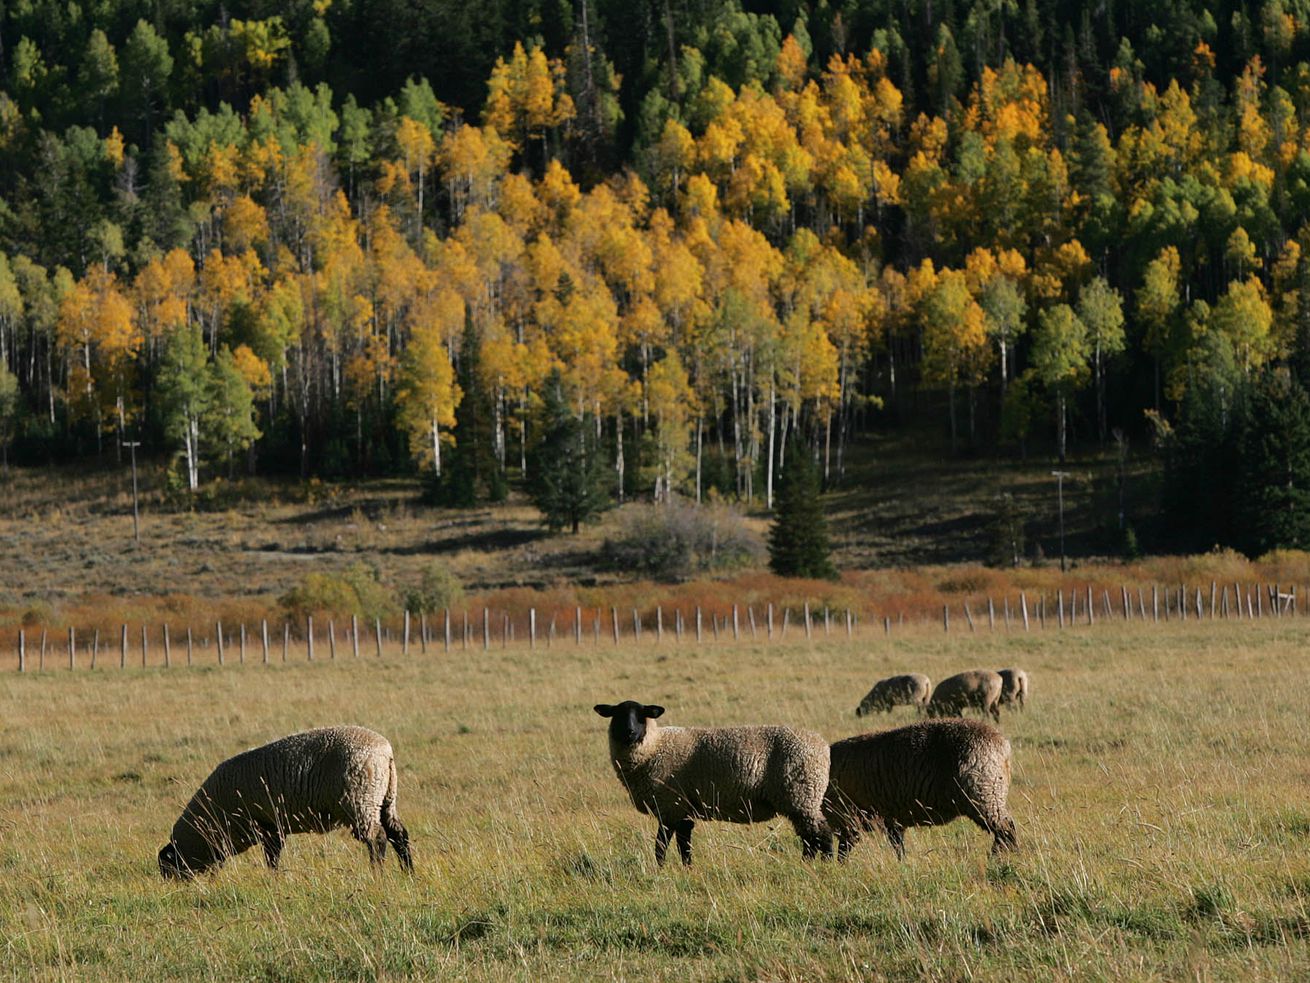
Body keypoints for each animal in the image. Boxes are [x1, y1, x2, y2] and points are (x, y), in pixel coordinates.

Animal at [158, 726, 412, 878]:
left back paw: (377, 873)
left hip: (361, 802)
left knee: (378, 838)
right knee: (398, 834)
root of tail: (385, 752)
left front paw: (272, 879)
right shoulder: (273, 826)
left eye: (170, 866)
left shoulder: (266, 825)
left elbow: (272, 858)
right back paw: (408, 872)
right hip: (385, 799)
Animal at [593, 700, 832, 866]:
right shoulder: (683, 809)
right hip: (801, 799)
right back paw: (807, 864)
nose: (629, 732)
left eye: (641, 715)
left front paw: (660, 869)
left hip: (801, 795)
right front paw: (687, 869)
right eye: (617, 715)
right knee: (810, 838)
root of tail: (822, 746)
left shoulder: (671, 805)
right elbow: (683, 844)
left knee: (821, 834)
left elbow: (662, 845)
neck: (655, 746)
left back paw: (825, 864)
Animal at [822, 718, 1017, 860]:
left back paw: (999, 858)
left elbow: (846, 847)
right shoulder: (891, 818)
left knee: (1006, 829)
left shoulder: (847, 817)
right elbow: (898, 845)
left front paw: (841, 866)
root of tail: (1003, 746)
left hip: (984, 794)